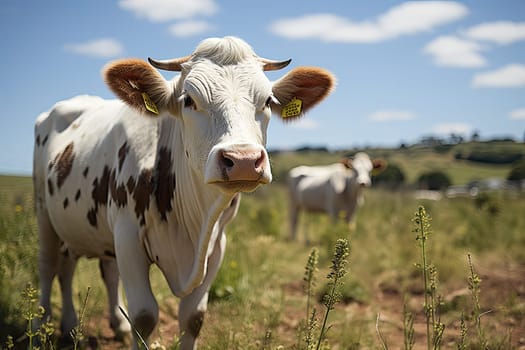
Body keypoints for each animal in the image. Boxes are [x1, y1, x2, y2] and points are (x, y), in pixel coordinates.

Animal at [33, 36, 336, 350]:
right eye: (189, 100)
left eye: (267, 101)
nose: (243, 160)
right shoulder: (128, 236)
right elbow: (144, 316)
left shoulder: (216, 244)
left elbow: (193, 316)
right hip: (44, 211)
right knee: (49, 265)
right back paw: (43, 325)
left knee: (88, 270)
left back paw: (93, 326)